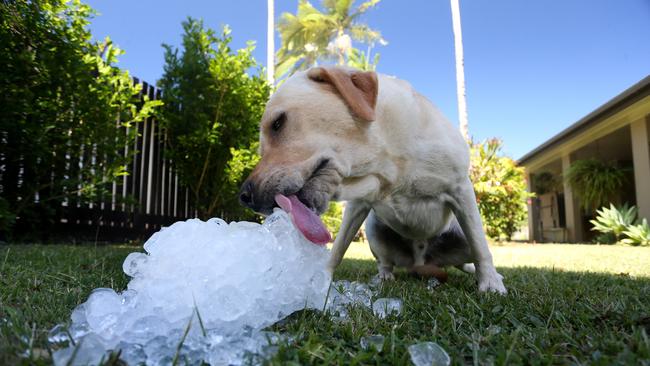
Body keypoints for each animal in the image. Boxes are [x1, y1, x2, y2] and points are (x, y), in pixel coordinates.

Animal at [239, 66, 506, 294]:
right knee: (386, 262)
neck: (387, 163)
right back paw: (385, 276)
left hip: (458, 234)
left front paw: (490, 283)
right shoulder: (358, 206)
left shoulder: (460, 189)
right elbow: (337, 249)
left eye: (277, 123)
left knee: (470, 253)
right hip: (375, 230)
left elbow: (481, 247)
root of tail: (420, 260)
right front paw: (320, 279)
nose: (244, 196)